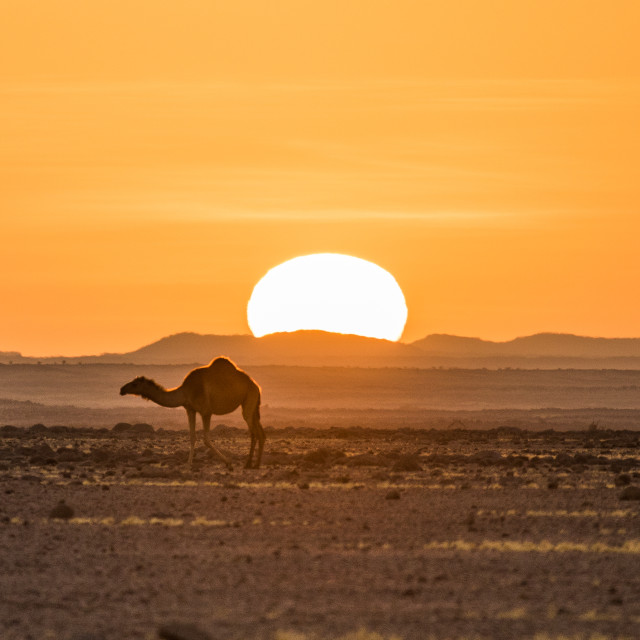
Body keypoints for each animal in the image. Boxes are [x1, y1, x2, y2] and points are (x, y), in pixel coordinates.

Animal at [119, 358, 264, 468]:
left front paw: (228, 462)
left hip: (249, 397)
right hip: (252, 404)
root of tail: (256, 385)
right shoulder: (190, 409)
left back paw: (250, 464)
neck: (185, 391)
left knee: (254, 432)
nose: (122, 389)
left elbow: (206, 439)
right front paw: (188, 464)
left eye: (135, 384)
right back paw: (255, 464)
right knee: (260, 432)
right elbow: (192, 436)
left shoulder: (206, 411)